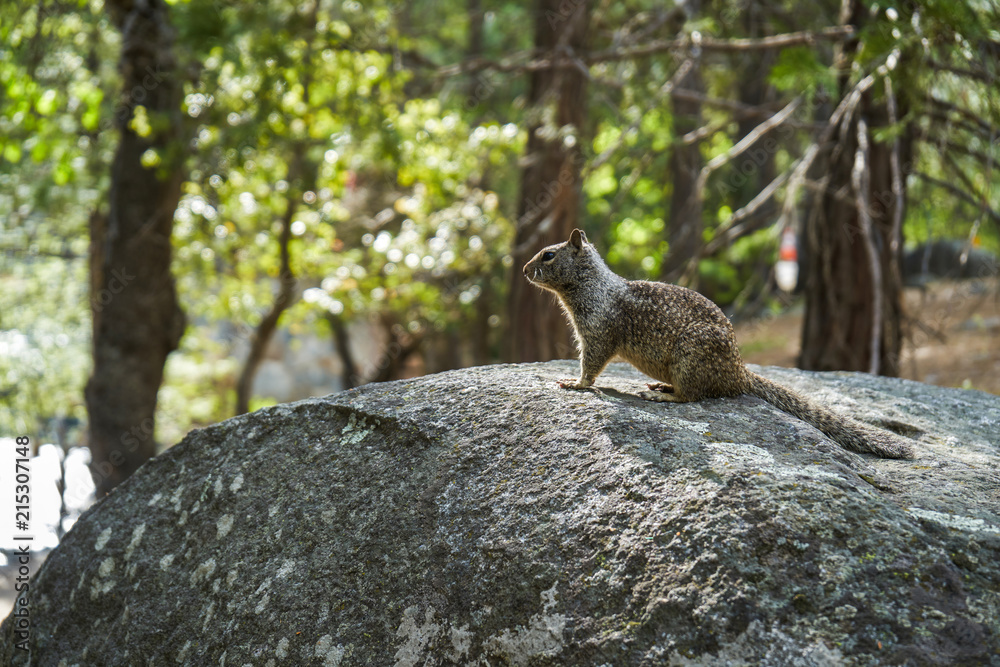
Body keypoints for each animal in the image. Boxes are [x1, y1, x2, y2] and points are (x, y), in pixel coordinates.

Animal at [523, 228, 914, 460]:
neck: (594, 285)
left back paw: (665, 396)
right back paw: (661, 386)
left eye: (548, 255)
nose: (524, 271)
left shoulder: (598, 331)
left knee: (693, 396)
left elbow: (591, 364)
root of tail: (740, 373)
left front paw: (576, 383)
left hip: (690, 355)